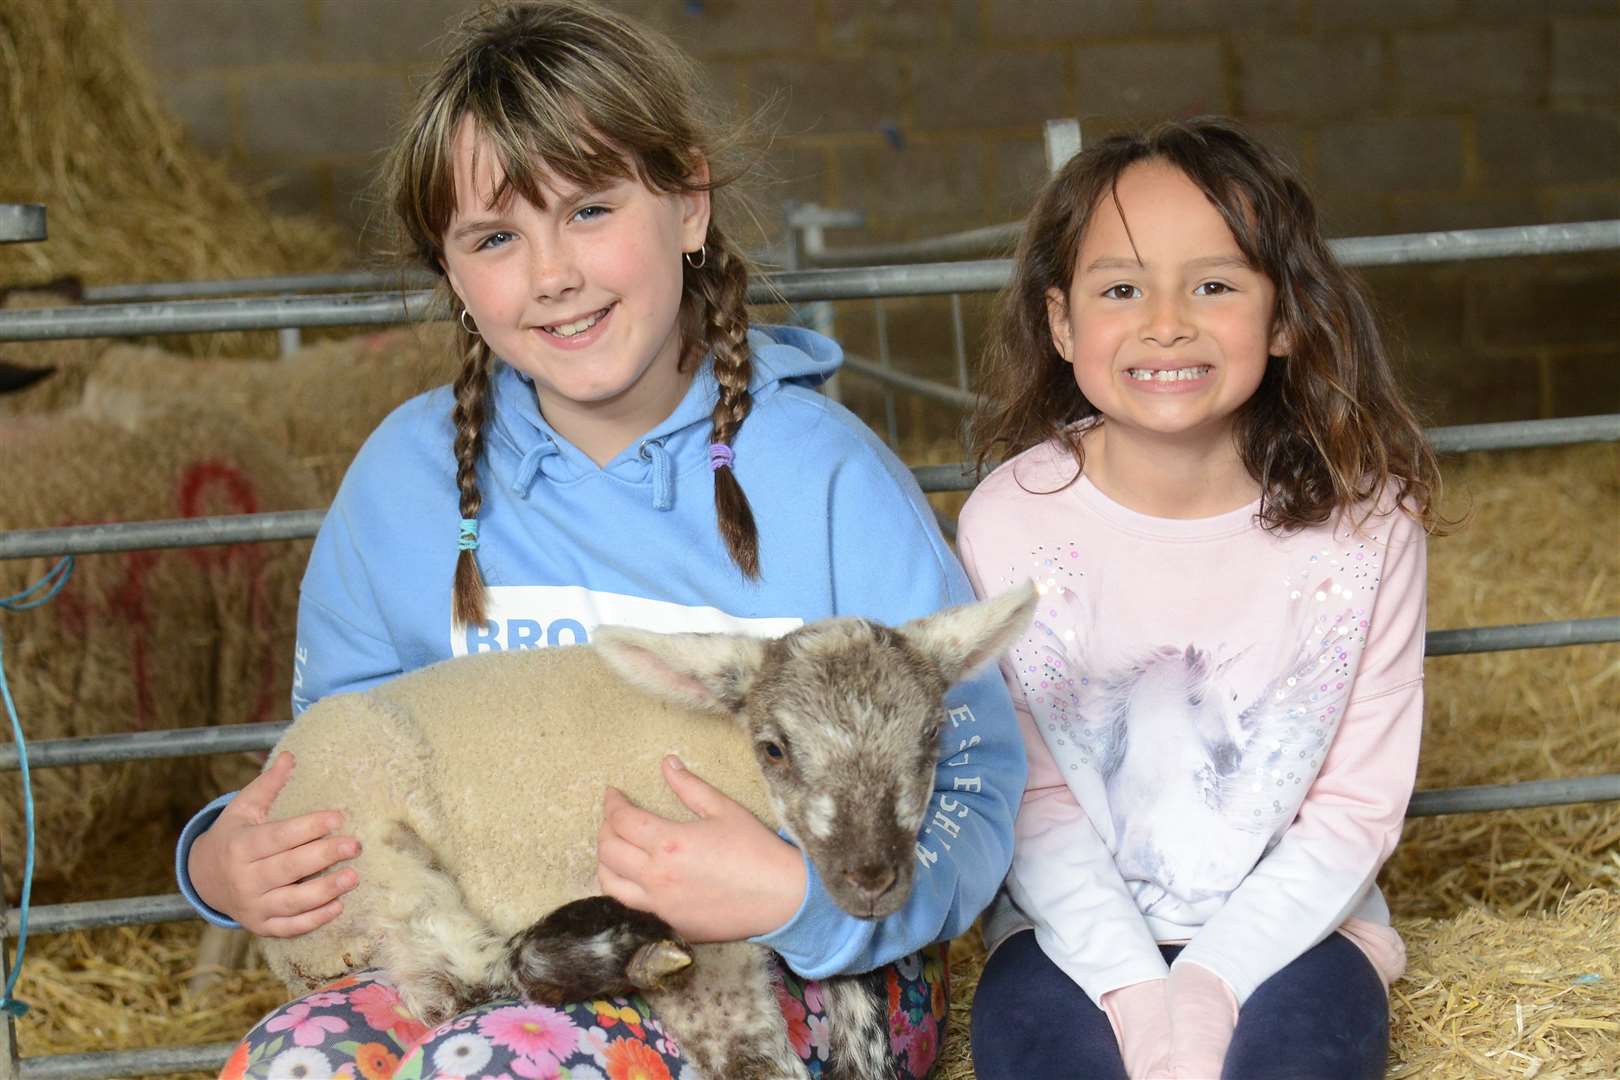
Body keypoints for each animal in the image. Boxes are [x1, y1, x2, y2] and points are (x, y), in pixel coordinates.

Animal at [257, 586, 1030, 1075]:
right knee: (461, 971)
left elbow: (861, 1014)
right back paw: (607, 948)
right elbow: (750, 1059)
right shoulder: (711, 938)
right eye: (774, 749)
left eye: (934, 735)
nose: (872, 880)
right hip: (369, 823)